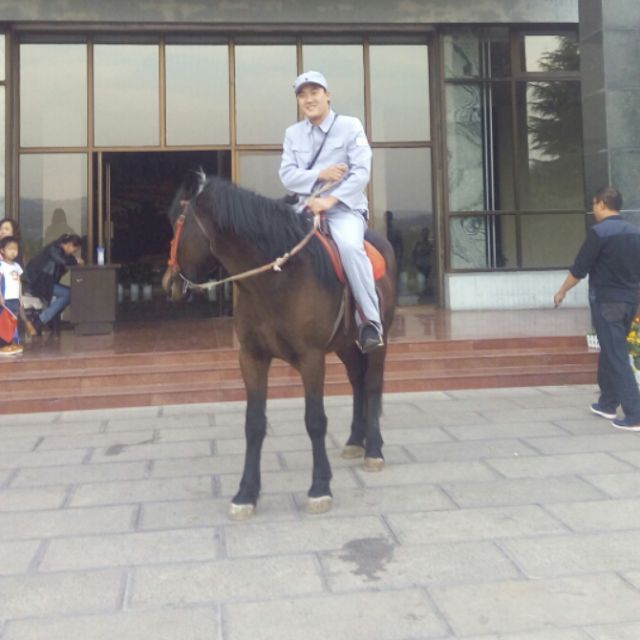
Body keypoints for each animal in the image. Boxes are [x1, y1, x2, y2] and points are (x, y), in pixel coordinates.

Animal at [162, 171, 397, 519]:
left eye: (174, 221)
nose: (169, 283)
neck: (275, 279)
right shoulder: (252, 357)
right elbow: (254, 423)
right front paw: (246, 493)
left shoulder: (311, 358)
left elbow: (315, 420)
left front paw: (319, 487)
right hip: (344, 343)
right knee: (356, 378)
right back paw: (356, 440)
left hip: (379, 339)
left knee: (371, 383)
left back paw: (374, 449)